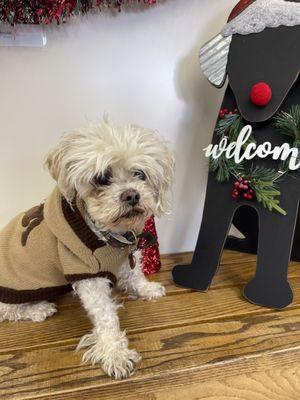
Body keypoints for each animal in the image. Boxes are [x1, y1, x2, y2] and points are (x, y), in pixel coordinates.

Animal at [0, 118, 175, 378]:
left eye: (139, 174)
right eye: (101, 178)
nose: (131, 195)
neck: (109, 235)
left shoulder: (127, 256)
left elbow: (134, 273)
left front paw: (146, 289)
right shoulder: (88, 275)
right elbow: (106, 318)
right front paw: (115, 354)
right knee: (7, 311)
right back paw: (38, 309)